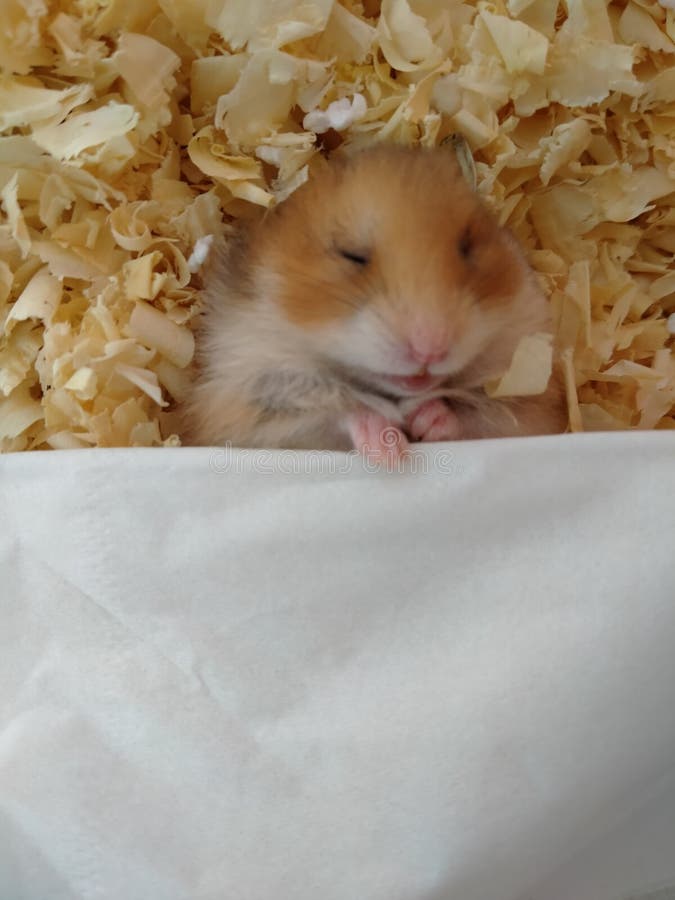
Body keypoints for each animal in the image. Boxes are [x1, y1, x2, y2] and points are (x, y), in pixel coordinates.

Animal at [183, 145, 566, 460]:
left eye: (468, 246)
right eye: (351, 255)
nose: (430, 349)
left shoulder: (530, 405)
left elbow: (472, 414)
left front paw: (424, 420)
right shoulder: (250, 398)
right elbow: (341, 412)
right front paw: (389, 450)